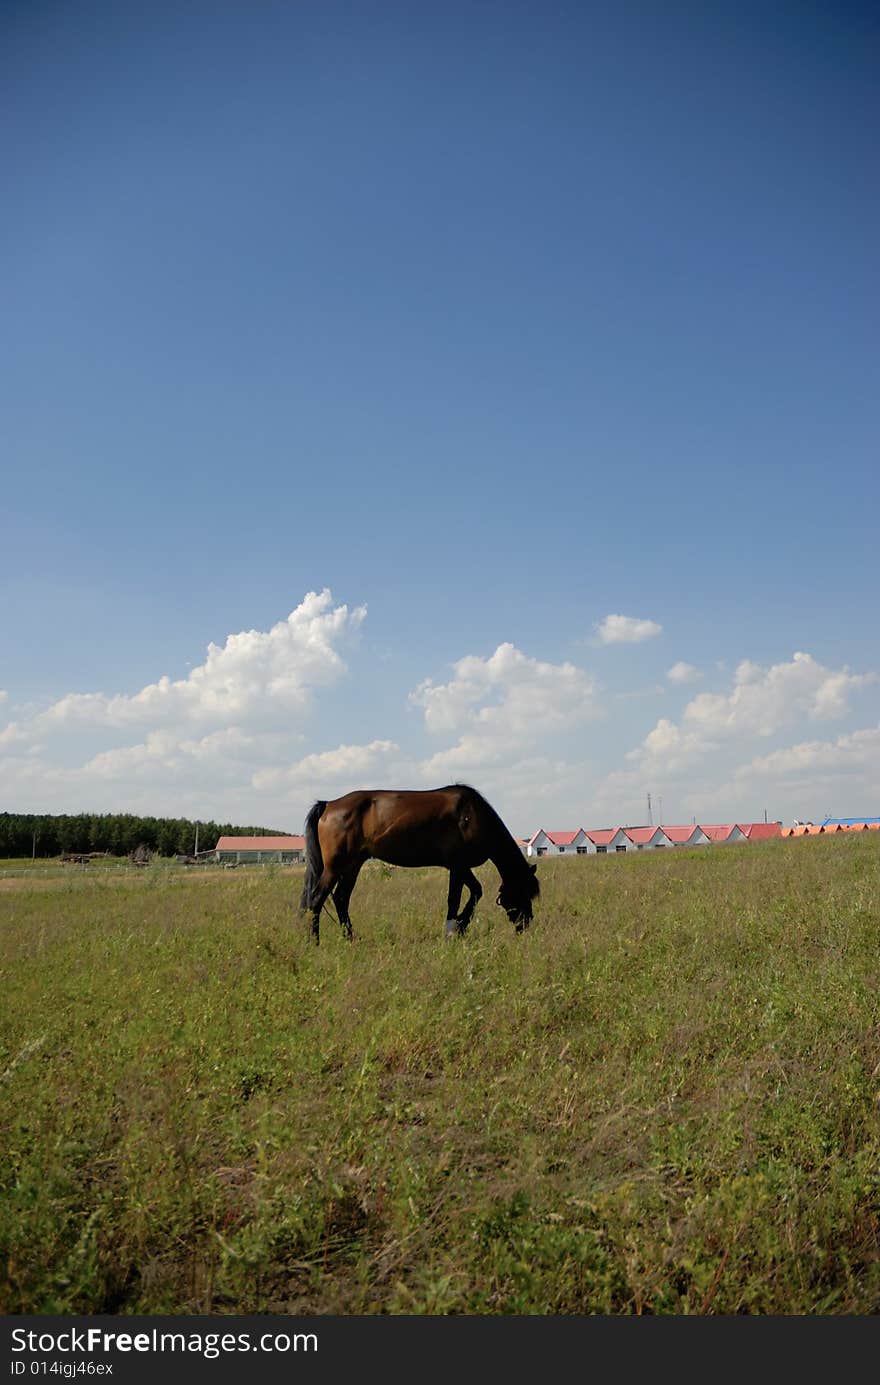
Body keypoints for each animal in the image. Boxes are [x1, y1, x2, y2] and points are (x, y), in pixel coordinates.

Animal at [299, 786, 540, 947]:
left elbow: (475, 891)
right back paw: (314, 942)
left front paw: (461, 925)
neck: (471, 816)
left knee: (341, 899)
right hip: (334, 868)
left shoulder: (460, 867)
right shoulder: (457, 866)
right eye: (523, 891)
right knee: (316, 900)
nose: (525, 924)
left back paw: (350, 938)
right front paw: (453, 929)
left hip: (352, 866)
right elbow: (456, 898)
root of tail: (329, 804)